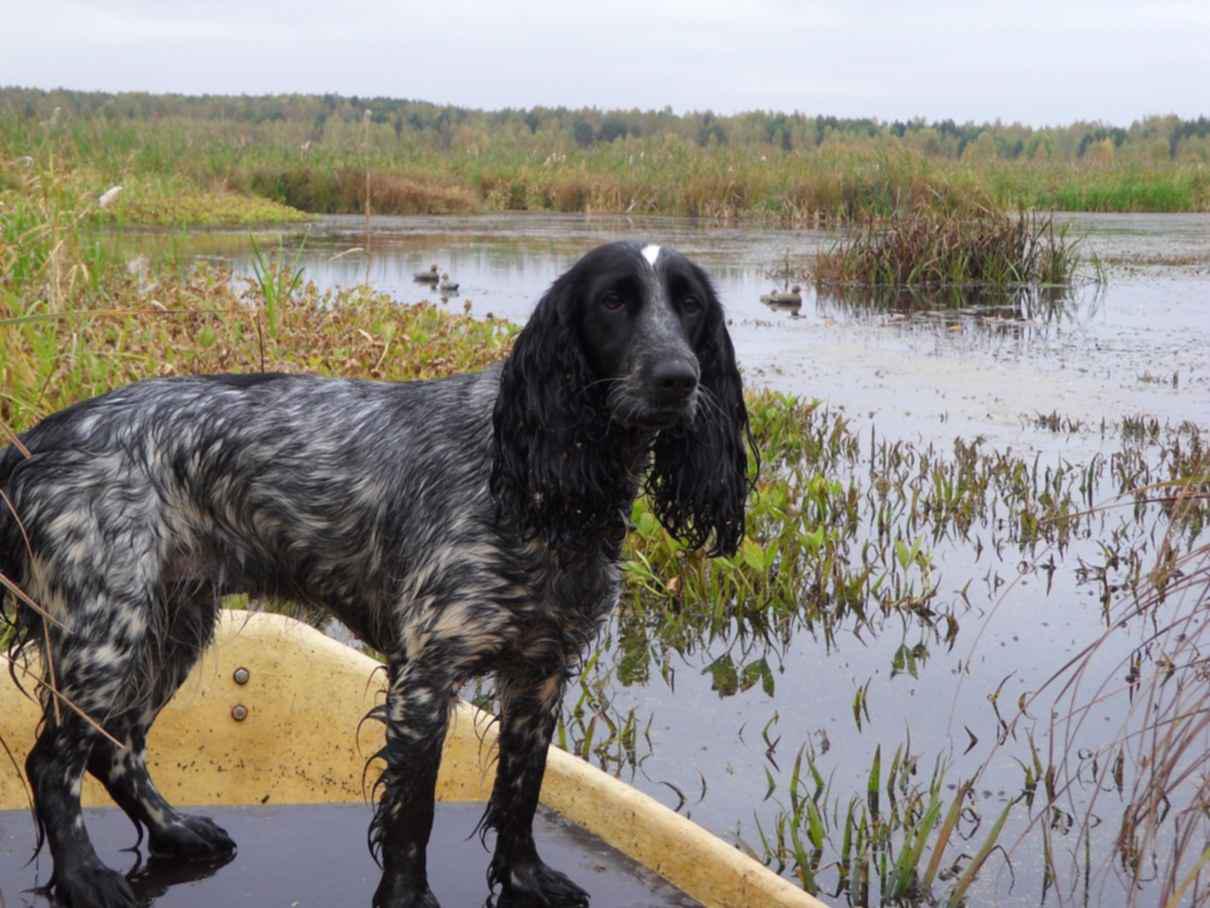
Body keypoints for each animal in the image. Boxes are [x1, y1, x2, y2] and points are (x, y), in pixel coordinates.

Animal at [0, 242, 750, 908]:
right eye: (613, 301)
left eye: (689, 306)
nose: (678, 377)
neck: (546, 492)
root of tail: (33, 444)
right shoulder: (425, 676)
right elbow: (413, 814)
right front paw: (409, 898)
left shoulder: (541, 671)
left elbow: (521, 791)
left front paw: (525, 878)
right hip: (107, 634)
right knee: (55, 762)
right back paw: (85, 878)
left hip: (171, 627)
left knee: (114, 749)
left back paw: (176, 831)